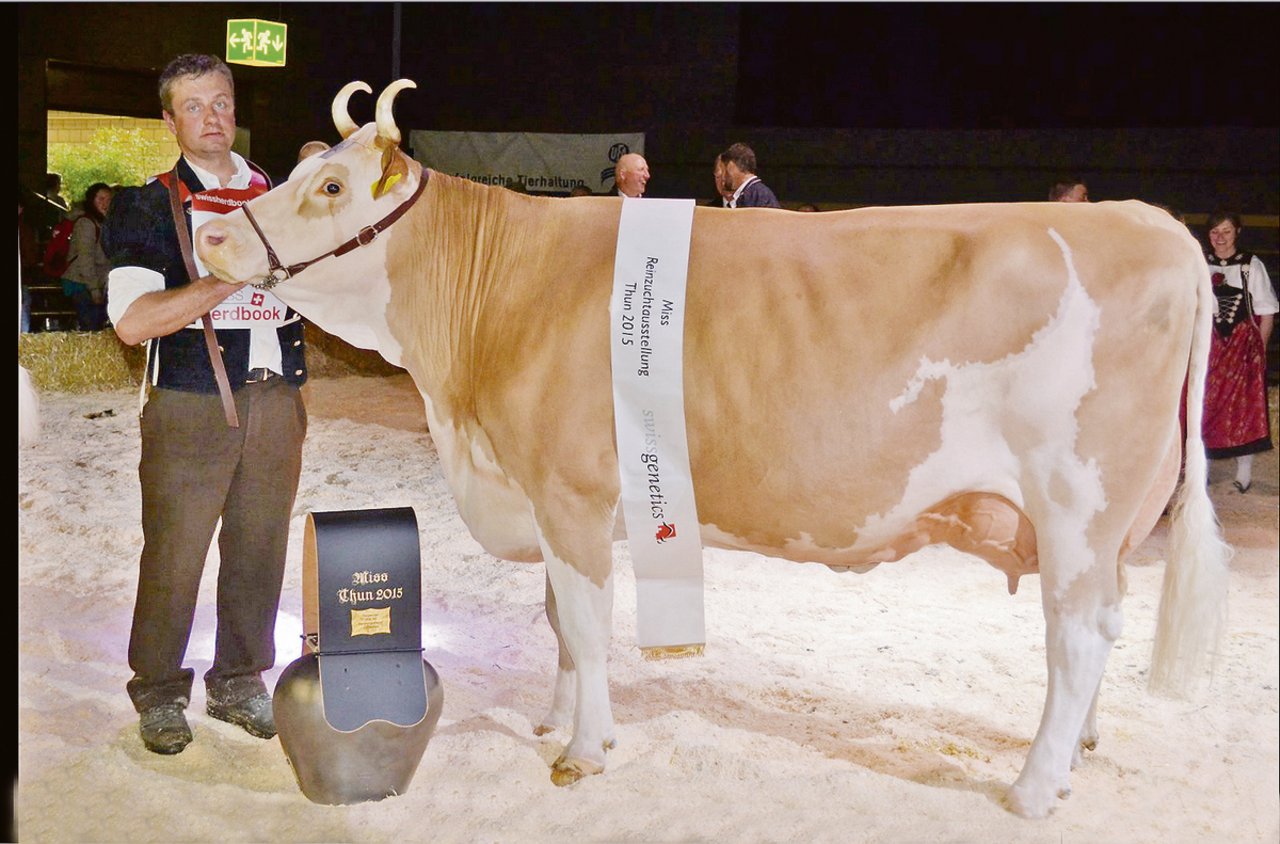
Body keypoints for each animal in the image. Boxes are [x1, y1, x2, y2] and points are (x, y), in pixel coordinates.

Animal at [197, 81, 1228, 819]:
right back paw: (1077, 752)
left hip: (1076, 503)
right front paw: (556, 718)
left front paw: (583, 752)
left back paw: (1033, 787)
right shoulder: (552, 499)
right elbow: (560, 622)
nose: (209, 234)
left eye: (329, 186)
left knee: (1077, 637)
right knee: (1103, 627)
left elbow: (583, 624)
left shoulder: (569, 491)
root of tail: (1146, 218)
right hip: (1106, 525)